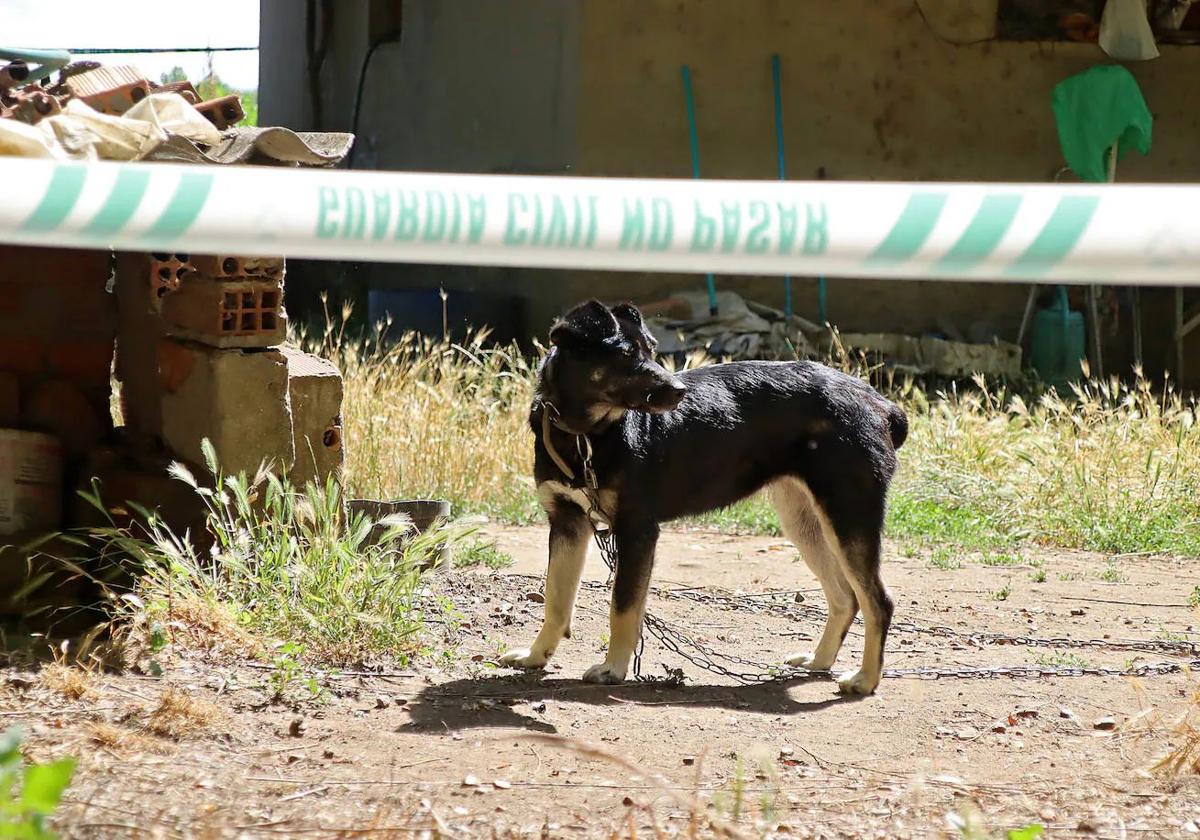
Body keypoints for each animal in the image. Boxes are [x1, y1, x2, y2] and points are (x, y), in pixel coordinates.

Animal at [499, 298, 907, 691]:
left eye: (651, 350)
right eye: (627, 354)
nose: (680, 392)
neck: (585, 436)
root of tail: (877, 401)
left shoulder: (636, 530)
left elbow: (623, 608)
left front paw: (613, 669)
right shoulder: (566, 522)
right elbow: (555, 601)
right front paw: (535, 656)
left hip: (848, 518)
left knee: (878, 602)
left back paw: (865, 680)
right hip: (805, 523)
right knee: (845, 598)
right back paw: (819, 661)